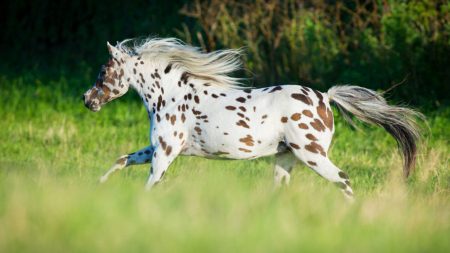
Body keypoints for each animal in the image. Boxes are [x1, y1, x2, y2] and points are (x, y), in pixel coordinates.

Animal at [81, 37, 422, 200]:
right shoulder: (156, 149)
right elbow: (122, 160)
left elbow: (150, 185)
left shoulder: (165, 153)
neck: (172, 96)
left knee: (343, 180)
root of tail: (326, 98)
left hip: (312, 155)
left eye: (104, 71)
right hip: (286, 159)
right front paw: (96, 189)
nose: (88, 100)